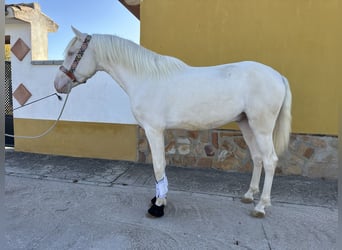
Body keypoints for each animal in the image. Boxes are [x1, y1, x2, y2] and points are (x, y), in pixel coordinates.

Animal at [54, 27, 292, 218]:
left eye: (72, 53)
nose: (58, 84)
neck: (145, 78)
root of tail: (278, 76)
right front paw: (159, 198)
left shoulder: (153, 129)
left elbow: (159, 165)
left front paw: (158, 205)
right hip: (246, 125)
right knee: (258, 158)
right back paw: (249, 195)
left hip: (261, 127)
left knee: (270, 160)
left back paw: (261, 206)